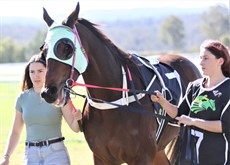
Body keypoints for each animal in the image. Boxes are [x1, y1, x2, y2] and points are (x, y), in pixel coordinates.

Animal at [40, 2, 201, 164]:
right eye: (44, 50)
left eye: (67, 48)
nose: (49, 92)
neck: (112, 102)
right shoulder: (101, 157)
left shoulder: (142, 156)